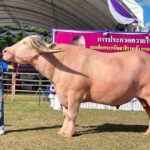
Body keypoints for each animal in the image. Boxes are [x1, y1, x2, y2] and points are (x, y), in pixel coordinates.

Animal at [2, 35, 150, 137]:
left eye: (24, 42)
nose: (4, 51)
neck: (60, 65)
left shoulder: (75, 95)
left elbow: (72, 114)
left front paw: (69, 133)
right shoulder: (63, 97)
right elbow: (65, 114)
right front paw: (63, 131)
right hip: (143, 99)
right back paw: (147, 133)